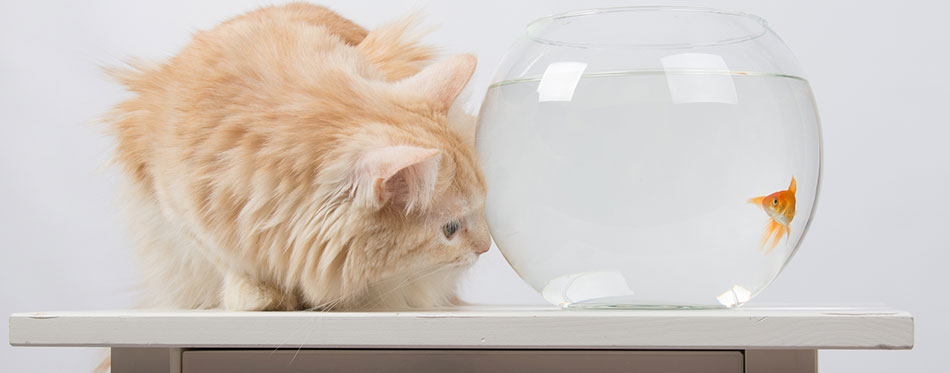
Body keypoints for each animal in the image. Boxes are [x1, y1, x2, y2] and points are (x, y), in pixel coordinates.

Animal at [105, 2, 490, 310]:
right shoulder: (176, 208)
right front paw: (258, 295)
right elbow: (225, 259)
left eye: (482, 209)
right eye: (450, 229)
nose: (486, 248)